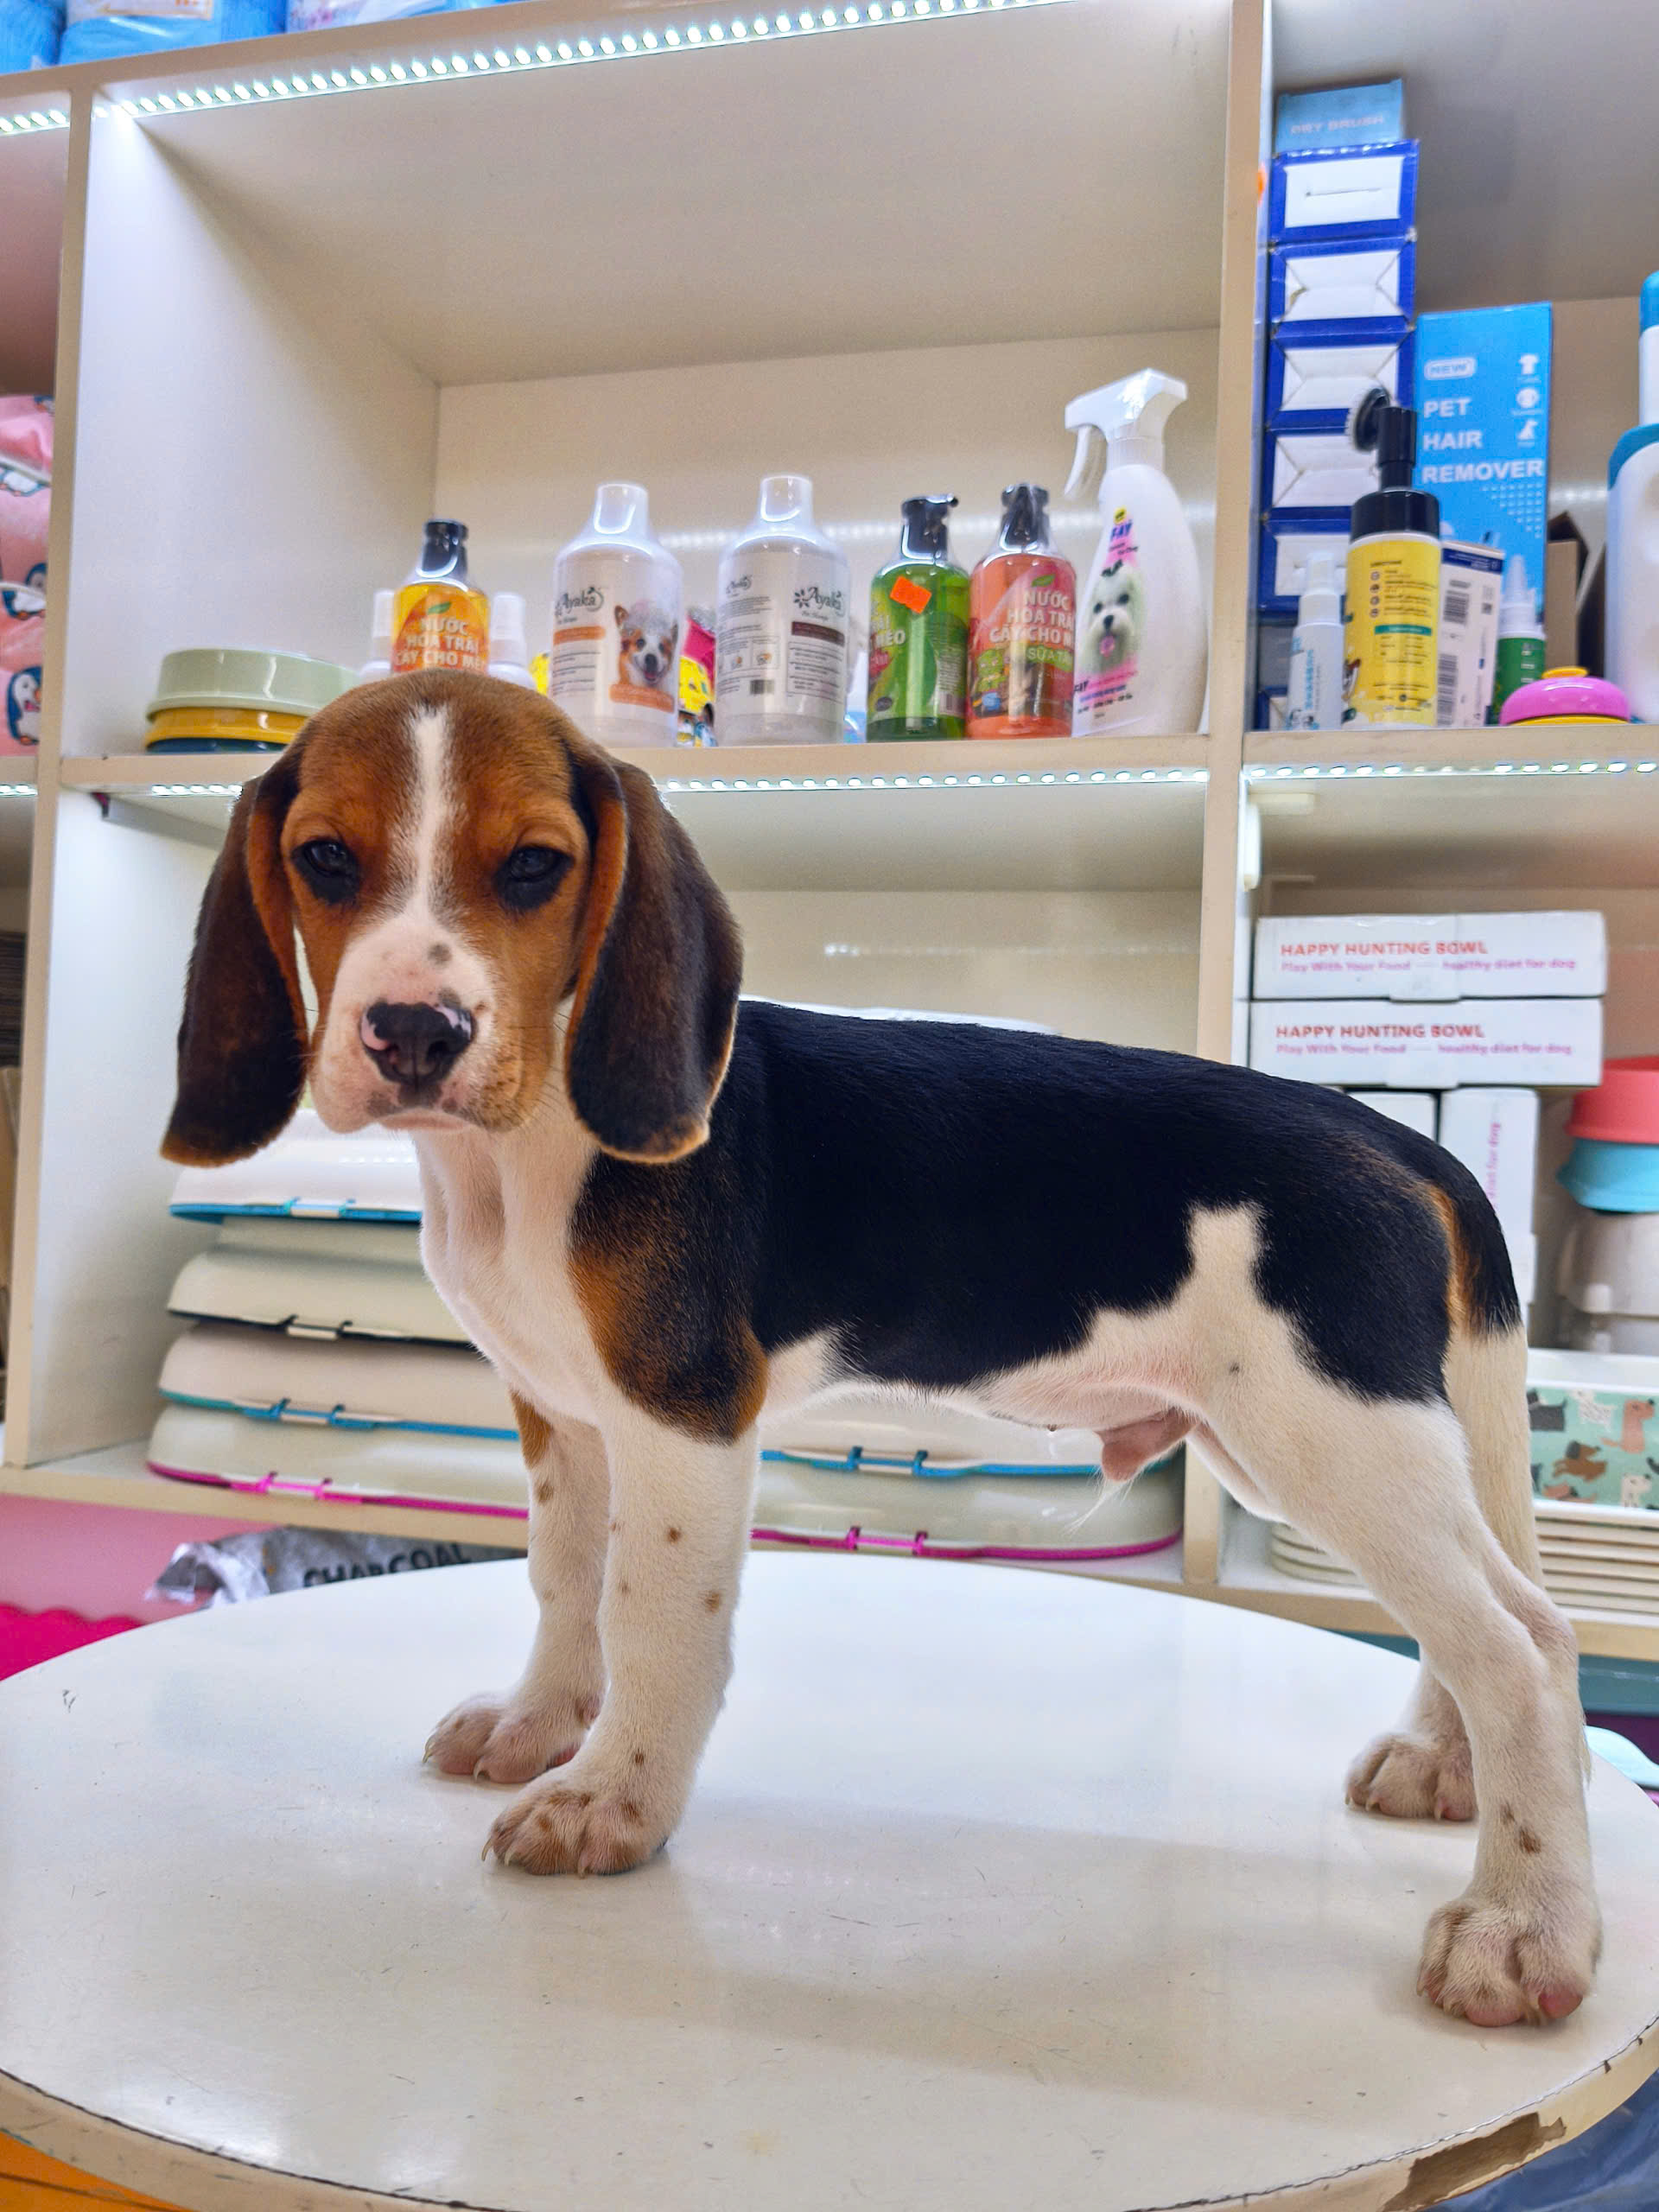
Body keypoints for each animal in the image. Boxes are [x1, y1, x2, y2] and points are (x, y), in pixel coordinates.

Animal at [163, 669, 1599, 2030]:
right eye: (325, 859)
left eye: (532, 867)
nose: (416, 1032)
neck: (529, 1149)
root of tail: (1398, 1142)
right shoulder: (562, 1413)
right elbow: (565, 1583)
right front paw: (540, 1725)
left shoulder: (682, 1415)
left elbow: (650, 1617)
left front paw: (613, 1797)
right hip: (1333, 1448)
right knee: (1501, 1613)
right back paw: (1448, 1770)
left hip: (1329, 1434)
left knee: (1523, 1648)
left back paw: (1524, 1926)